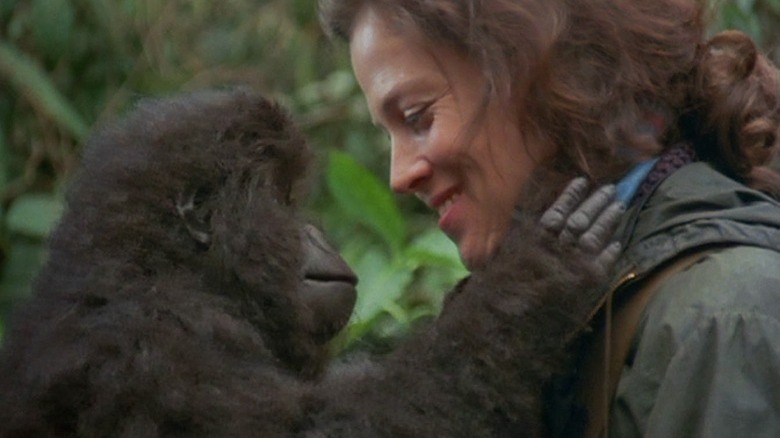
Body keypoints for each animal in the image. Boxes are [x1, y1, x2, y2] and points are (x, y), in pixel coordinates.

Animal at [0, 90, 620, 438]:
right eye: (281, 199)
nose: (316, 231)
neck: (161, 266)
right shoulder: (158, 344)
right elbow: (328, 428)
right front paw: (537, 273)